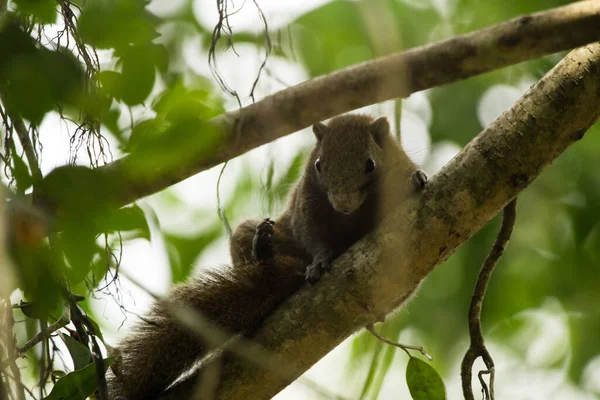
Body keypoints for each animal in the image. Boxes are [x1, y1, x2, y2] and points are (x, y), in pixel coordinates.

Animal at [106, 114, 426, 398]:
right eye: (319, 165)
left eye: (370, 164)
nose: (343, 203)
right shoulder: (306, 202)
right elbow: (314, 236)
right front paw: (319, 261)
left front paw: (418, 179)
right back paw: (263, 247)